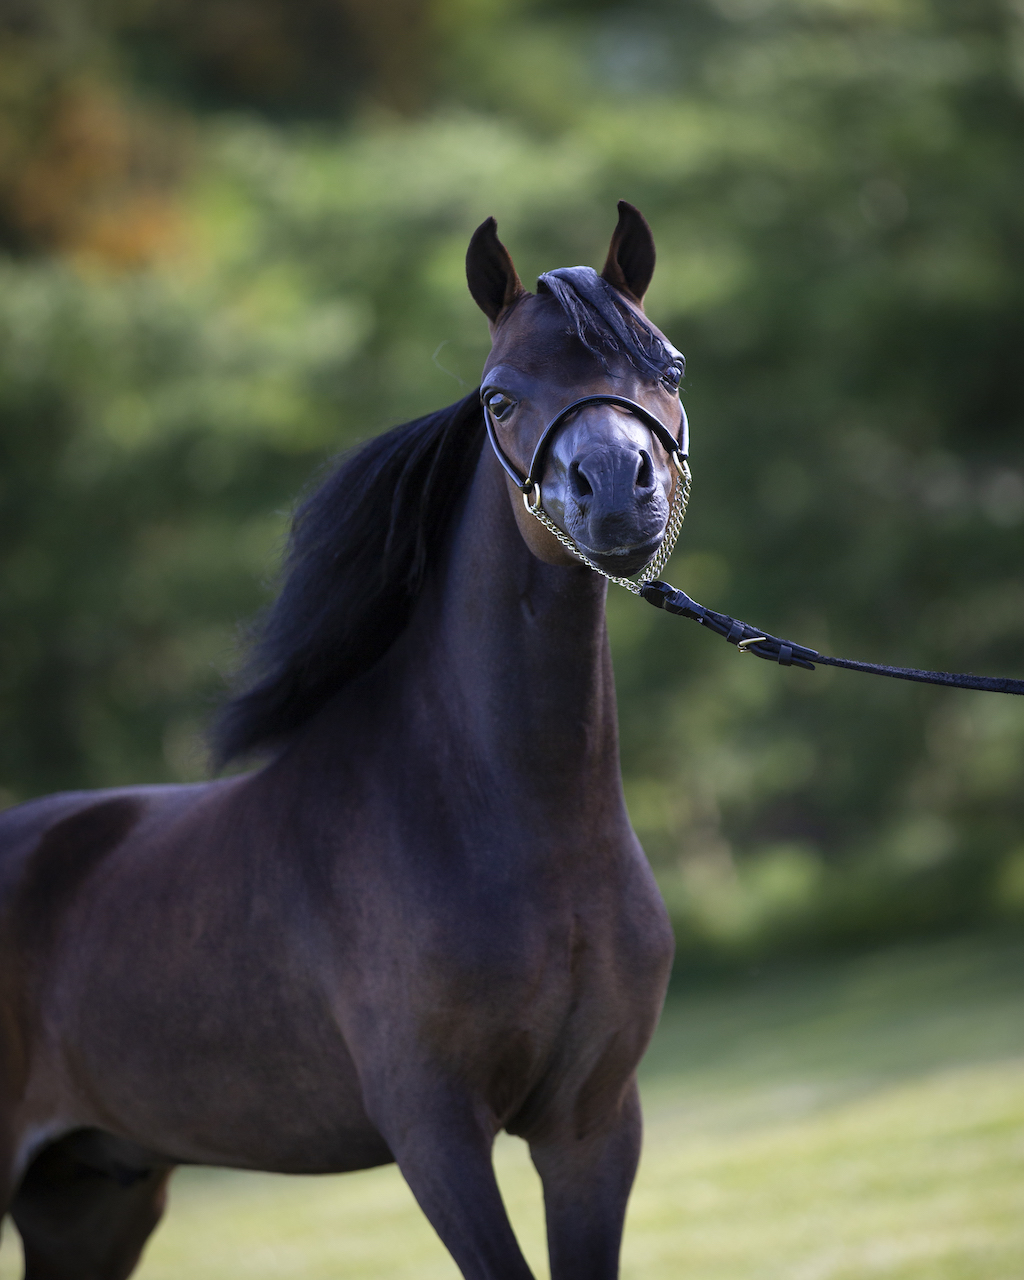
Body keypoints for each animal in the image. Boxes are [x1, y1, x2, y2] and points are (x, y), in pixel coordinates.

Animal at [0, 201, 685, 1280]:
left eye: (669, 365)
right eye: (498, 396)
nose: (615, 490)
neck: (519, 823)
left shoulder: (593, 1125)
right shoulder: (435, 1133)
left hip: (88, 1197)